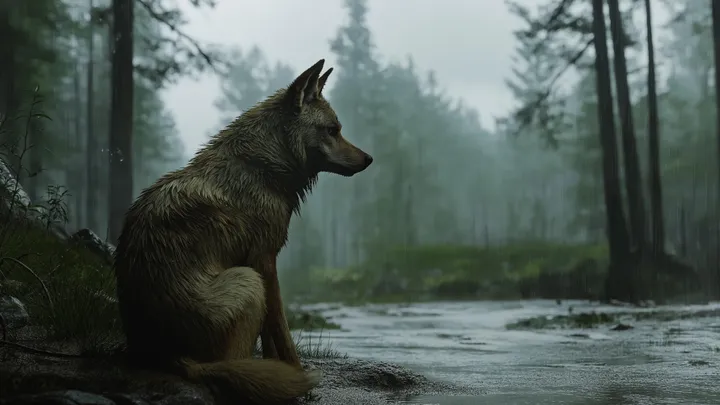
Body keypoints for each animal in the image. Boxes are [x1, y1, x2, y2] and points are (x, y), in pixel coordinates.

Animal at [113, 59, 372, 404]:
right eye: (333, 130)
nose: (369, 159)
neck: (261, 167)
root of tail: (164, 354)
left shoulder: (260, 262)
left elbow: (270, 338)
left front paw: (279, 371)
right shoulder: (264, 261)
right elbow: (282, 332)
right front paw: (297, 376)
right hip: (247, 281)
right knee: (227, 365)